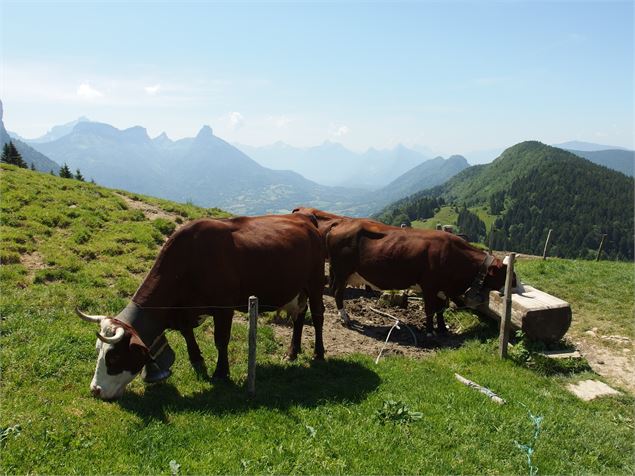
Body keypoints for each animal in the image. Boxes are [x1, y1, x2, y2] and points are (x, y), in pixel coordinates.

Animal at [77, 214, 326, 400]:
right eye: (98, 351)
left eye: (114, 358)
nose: (95, 390)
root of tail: (305, 217)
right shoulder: (184, 311)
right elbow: (187, 333)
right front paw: (197, 360)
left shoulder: (223, 307)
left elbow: (221, 340)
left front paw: (221, 373)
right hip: (299, 290)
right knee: (299, 317)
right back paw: (293, 352)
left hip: (314, 283)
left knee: (318, 316)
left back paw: (318, 354)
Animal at [294, 206, 512, 336]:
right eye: (508, 275)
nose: (516, 288)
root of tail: (340, 224)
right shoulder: (429, 286)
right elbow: (430, 309)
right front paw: (430, 332)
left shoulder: (441, 288)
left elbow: (441, 309)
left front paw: (442, 329)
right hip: (342, 272)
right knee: (337, 293)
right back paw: (345, 318)